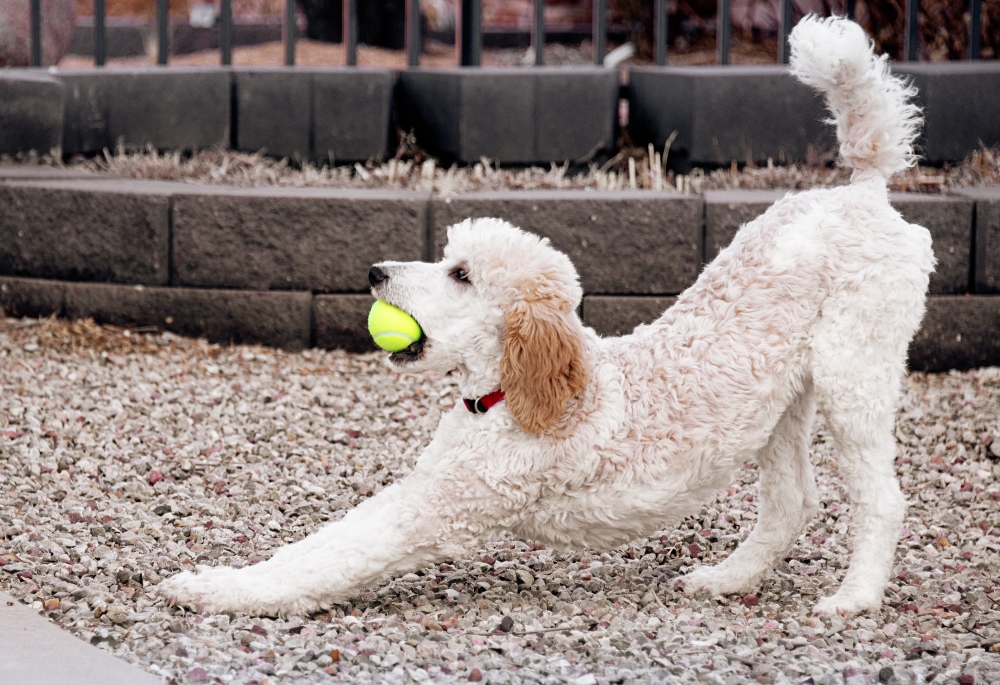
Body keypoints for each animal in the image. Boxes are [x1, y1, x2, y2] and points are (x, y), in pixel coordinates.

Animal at [160, 16, 932, 616]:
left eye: (461, 274)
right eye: (448, 255)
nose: (375, 273)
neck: (511, 397)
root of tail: (862, 192)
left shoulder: (435, 508)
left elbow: (325, 561)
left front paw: (213, 590)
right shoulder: (425, 486)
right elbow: (318, 541)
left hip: (854, 374)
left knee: (881, 500)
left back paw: (855, 597)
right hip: (783, 402)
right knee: (791, 502)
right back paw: (728, 578)